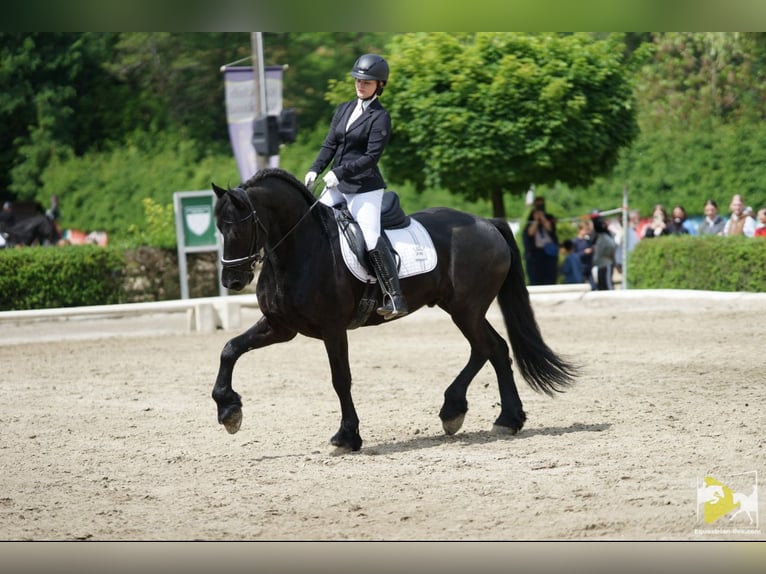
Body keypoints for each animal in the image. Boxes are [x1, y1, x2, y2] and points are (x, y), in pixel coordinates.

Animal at [211, 168, 578, 452]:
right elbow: (229, 349)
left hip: (466, 309)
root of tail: (486, 223)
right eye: (219, 228)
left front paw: (347, 437)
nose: (232, 280)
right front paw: (228, 411)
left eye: (239, 226)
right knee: (494, 349)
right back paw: (497, 418)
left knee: (487, 348)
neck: (298, 249)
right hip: (462, 308)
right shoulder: (281, 326)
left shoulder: (332, 328)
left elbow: (340, 379)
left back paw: (466, 411)